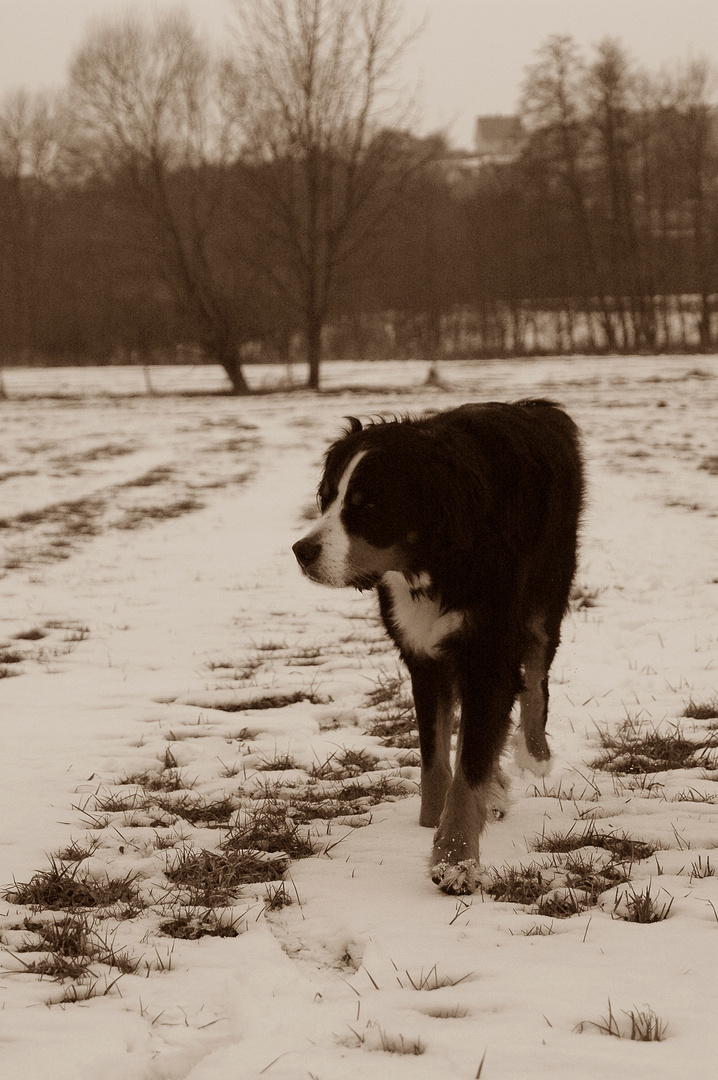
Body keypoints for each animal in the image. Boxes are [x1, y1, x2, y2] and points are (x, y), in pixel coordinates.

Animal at [291, 403, 583, 894]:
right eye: (327, 498)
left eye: (369, 505)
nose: (301, 550)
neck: (432, 566)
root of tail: (537, 404)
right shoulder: (422, 654)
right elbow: (436, 759)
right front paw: (435, 823)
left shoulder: (487, 652)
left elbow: (468, 771)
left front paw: (456, 860)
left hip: (545, 594)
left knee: (536, 677)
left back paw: (534, 753)